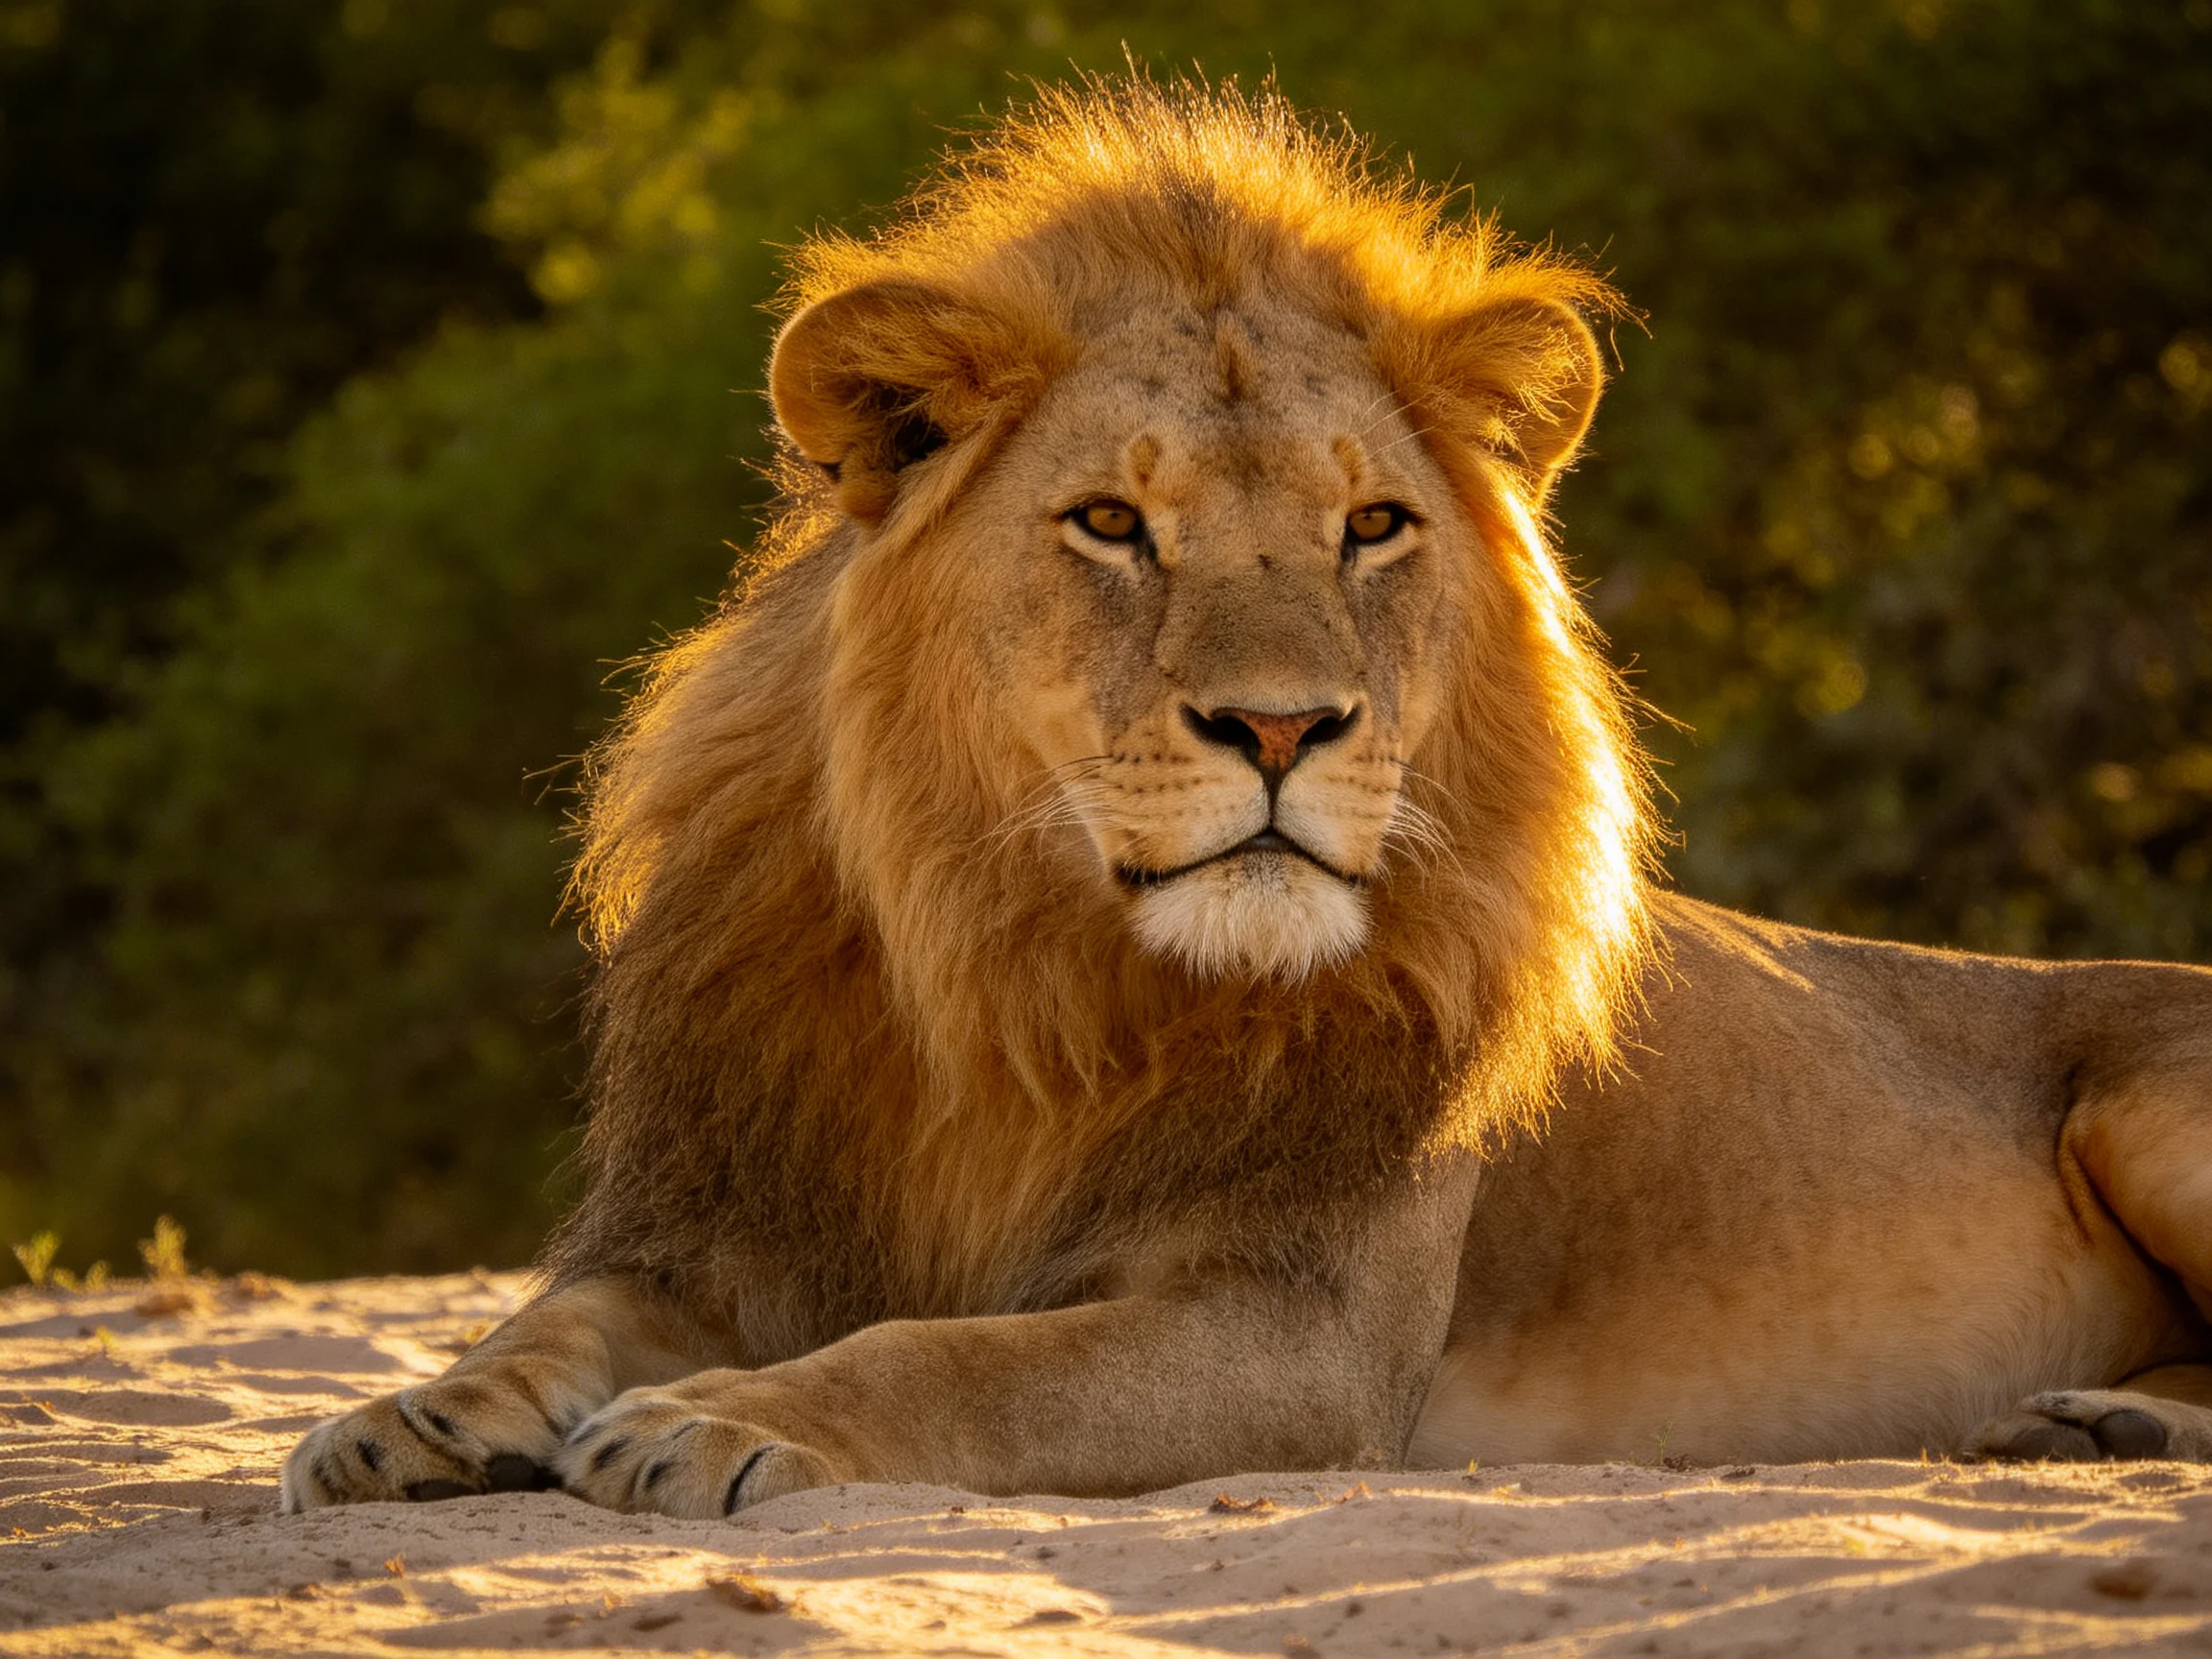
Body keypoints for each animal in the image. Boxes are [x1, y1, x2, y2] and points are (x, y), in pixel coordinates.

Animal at [282, 80, 2211, 1518]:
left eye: (1371, 525)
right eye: (1110, 523)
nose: (1281, 727)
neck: (1019, 971)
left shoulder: (1299, 1331)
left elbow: (967, 1358)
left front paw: (728, 1422)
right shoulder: (717, 1220)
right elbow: (548, 1319)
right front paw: (411, 1419)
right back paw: (2077, 1423)